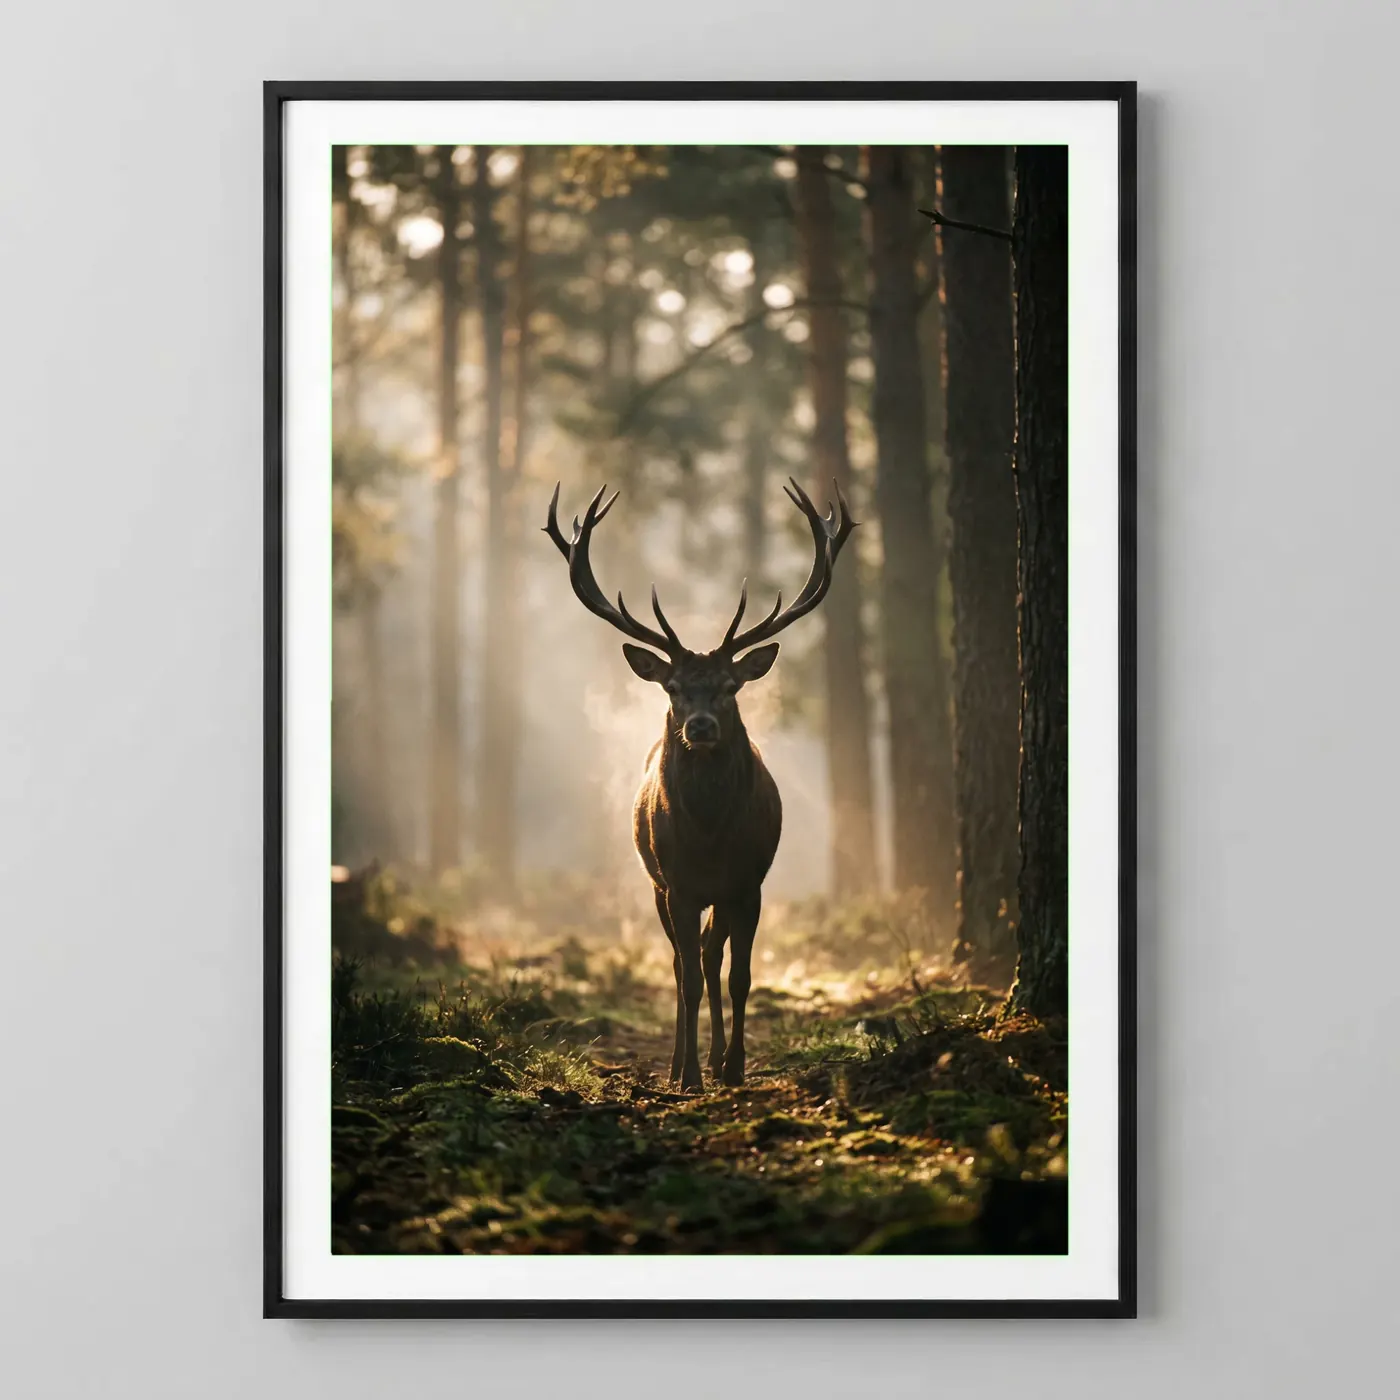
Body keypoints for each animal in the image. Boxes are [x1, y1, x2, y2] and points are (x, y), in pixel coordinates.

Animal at [544, 477, 856, 1090]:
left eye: (732, 686)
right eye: (673, 687)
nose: (702, 726)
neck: (710, 837)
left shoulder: (748, 882)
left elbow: (740, 975)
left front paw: (732, 1066)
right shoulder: (679, 884)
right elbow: (686, 975)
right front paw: (687, 1074)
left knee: (713, 958)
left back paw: (714, 1057)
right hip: (657, 885)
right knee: (682, 963)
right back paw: (680, 1062)